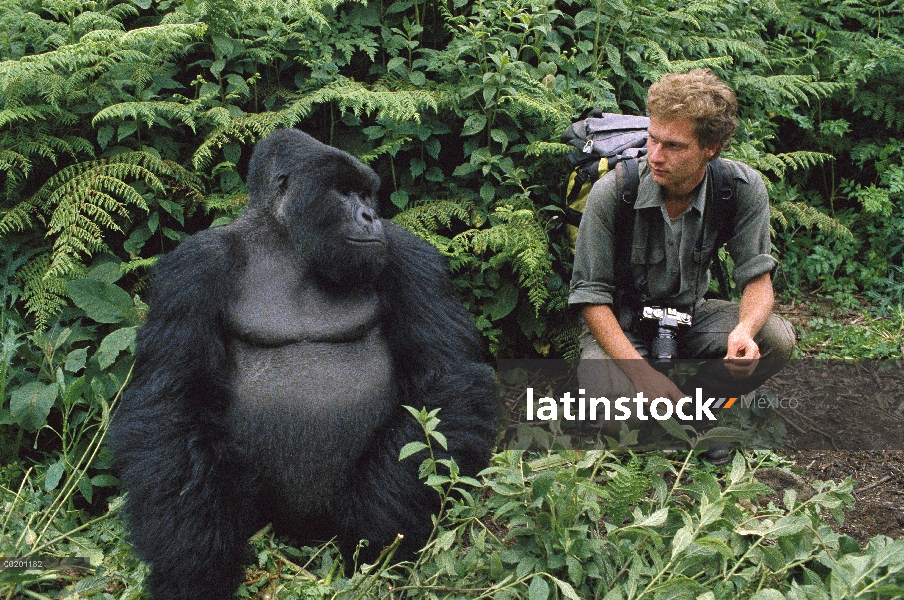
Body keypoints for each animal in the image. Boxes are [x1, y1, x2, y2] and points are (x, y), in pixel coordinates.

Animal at [111, 130, 502, 600]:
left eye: (365, 194)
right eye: (343, 191)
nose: (370, 215)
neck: (287, 245)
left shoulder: (408, 254)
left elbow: (446, 379)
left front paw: (376, 531)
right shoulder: (193, 267)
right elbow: (171, 400)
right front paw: (193, 566)